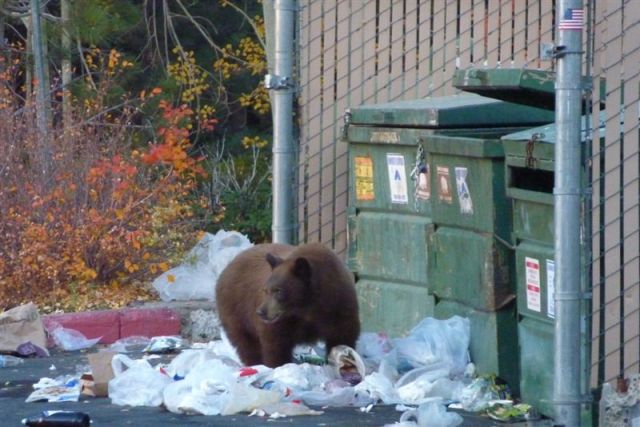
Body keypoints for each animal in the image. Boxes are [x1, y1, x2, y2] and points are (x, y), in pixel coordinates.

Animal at [216, 244, 360, 368]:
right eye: (265, 290)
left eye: (278, 290)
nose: (261, 312)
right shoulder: (282, 322)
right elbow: (276, 344)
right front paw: (277, 365)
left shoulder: (340, 308)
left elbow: (343, 336)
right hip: (237, 309)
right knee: (245, 342)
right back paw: (255, 363)